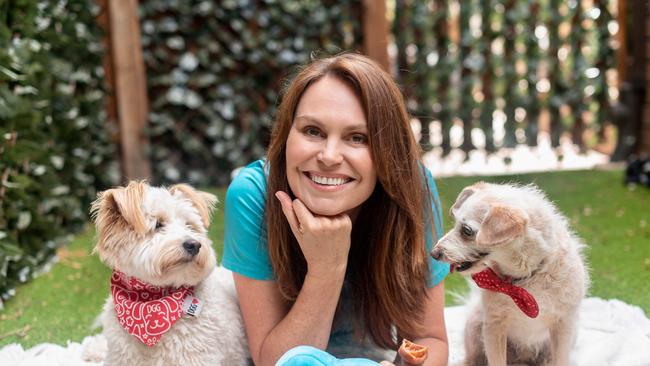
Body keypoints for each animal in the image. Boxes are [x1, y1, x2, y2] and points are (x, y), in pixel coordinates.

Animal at [430, 182, 588, 366]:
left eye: (467, 230)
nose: (433, 253)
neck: (525, 279)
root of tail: (523, 359)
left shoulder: (563, 326)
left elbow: (561, 360)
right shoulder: (494, 326)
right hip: (475, 326)